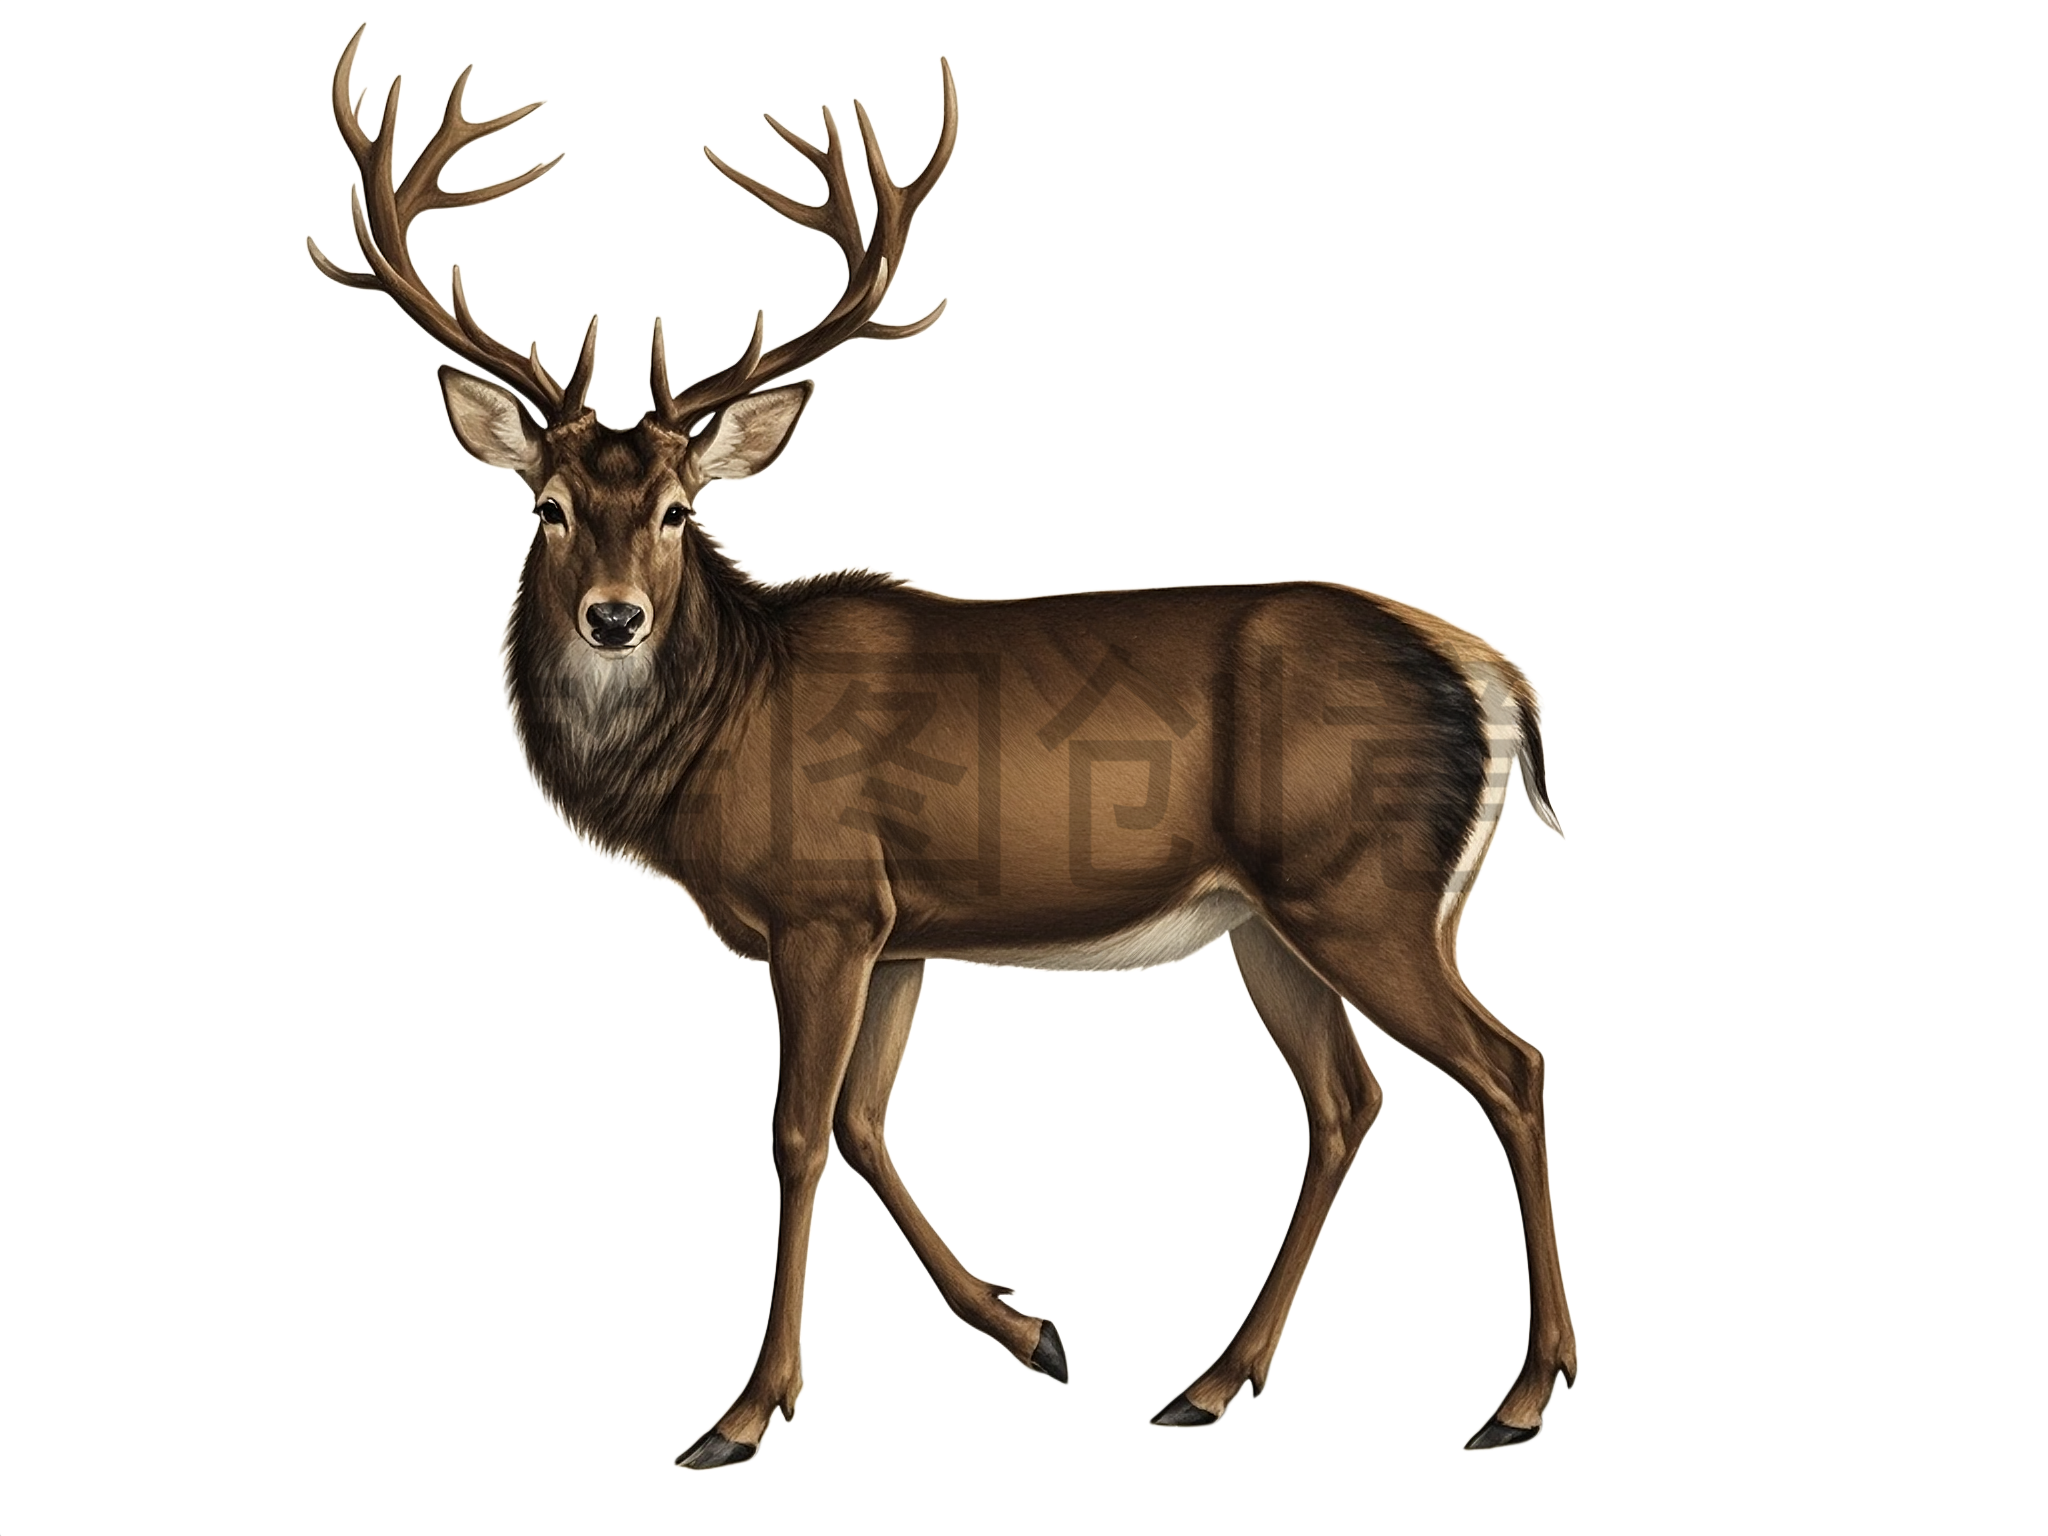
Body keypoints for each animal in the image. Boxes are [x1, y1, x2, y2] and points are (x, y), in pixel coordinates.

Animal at [307, 23, 1579, 1470]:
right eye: (549, 507)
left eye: (682, 509)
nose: (614, 615)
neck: (711, 749)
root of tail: (1499, 679)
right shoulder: (901, 926)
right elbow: (866, 1124)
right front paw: (1032, 1333)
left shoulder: (819, 905)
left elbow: (798, 1132)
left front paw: (745, 1412)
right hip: (1270, 917)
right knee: (1345, 1102)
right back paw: (1210, 1381)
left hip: (1363, 888)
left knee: (1510, 1067)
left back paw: (1521, 1395)